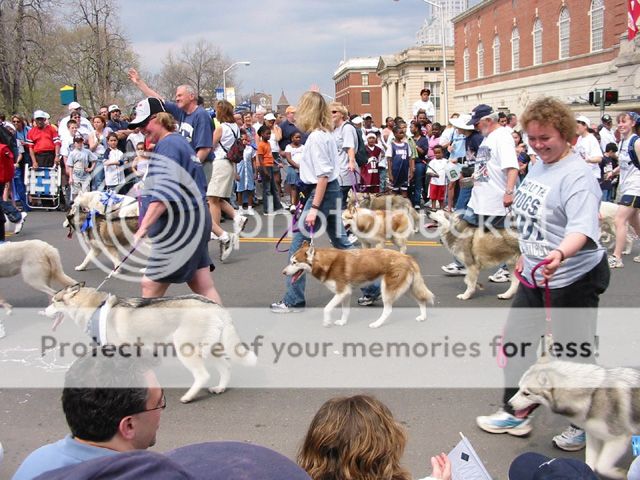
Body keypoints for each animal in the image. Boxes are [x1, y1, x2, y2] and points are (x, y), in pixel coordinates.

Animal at [282, 242, 432, 328]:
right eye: (290, 261)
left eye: (294, 262)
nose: (283, 272)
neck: (325, 263)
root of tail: (407, 257)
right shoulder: (345, 293)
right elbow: (345, 311)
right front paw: (343, 322)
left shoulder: (342, 292)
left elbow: (327, 308)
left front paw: (327, 322)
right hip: (406, 289)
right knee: (421, 300)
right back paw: (423, 317)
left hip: (388, 289)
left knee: (388, 310)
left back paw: (377, 324)